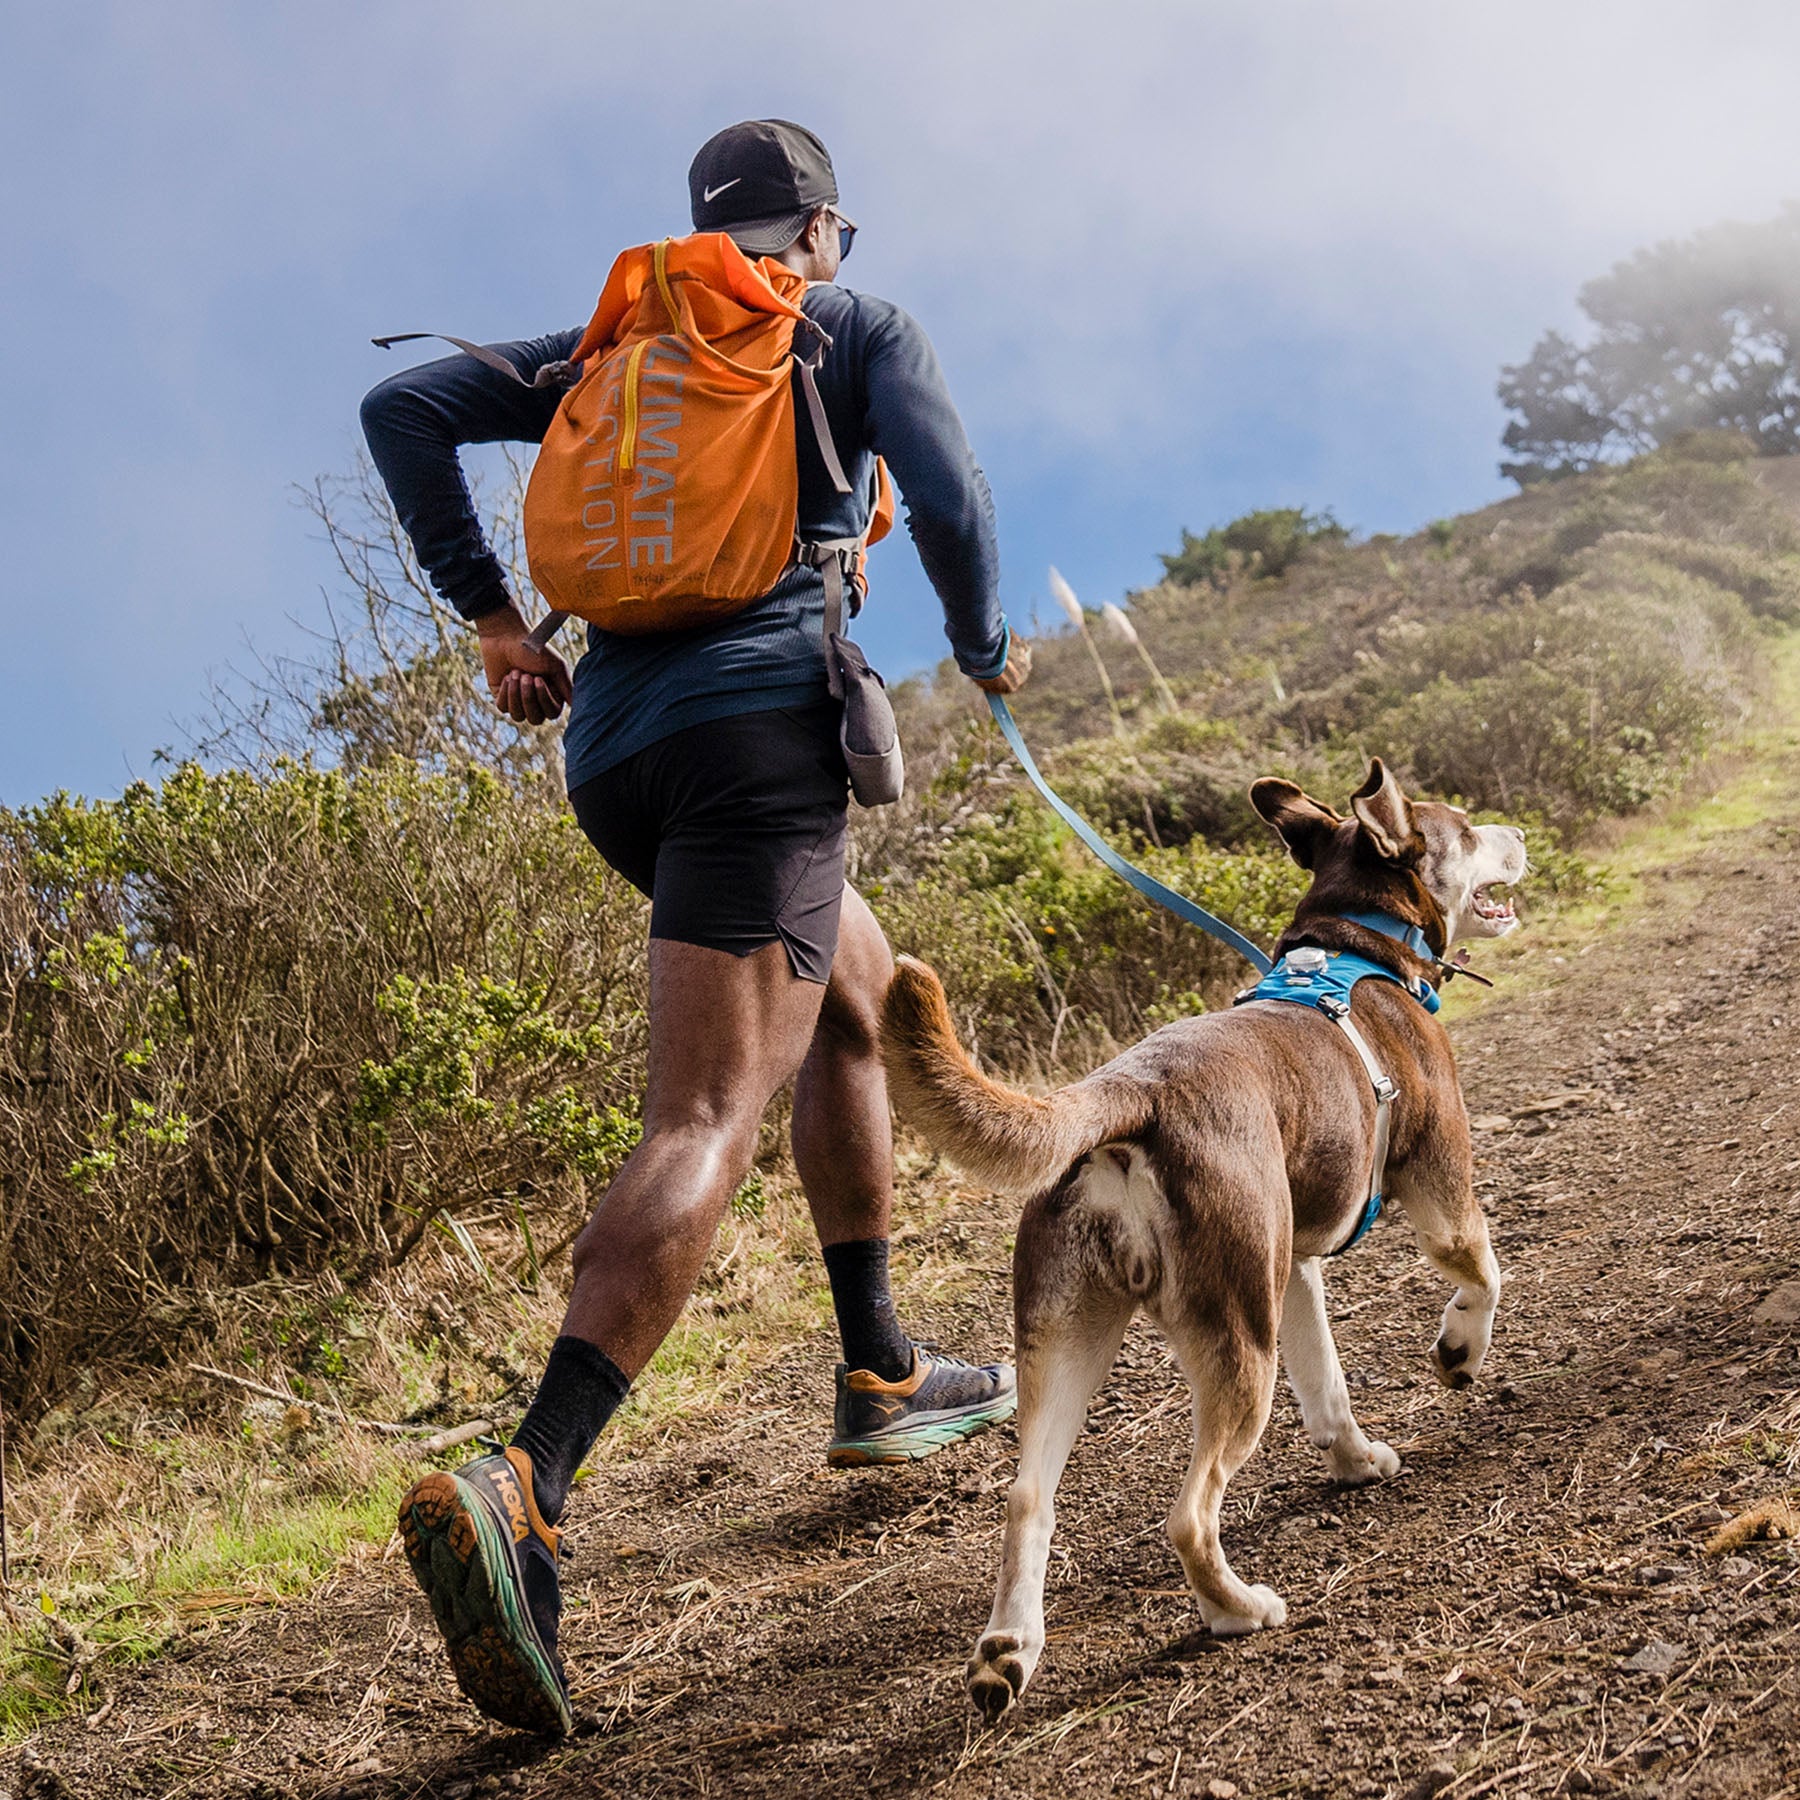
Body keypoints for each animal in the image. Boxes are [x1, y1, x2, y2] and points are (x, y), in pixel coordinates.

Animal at [878, 756, 1526, 1713]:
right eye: (1470, 831)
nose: (1520, 834)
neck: (1359, 947)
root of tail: (1126, 1096)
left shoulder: (1292, 1272)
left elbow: (1327, 1385)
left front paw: (1354, 1457)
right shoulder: (1441, 1192)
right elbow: (1483, 1272)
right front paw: (1458, 1352)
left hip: (1068, 1338)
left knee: (1028, 1497)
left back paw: (1009, 1651)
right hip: (1235, 1344)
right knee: (1189, 1514)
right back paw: (1237, 1609)